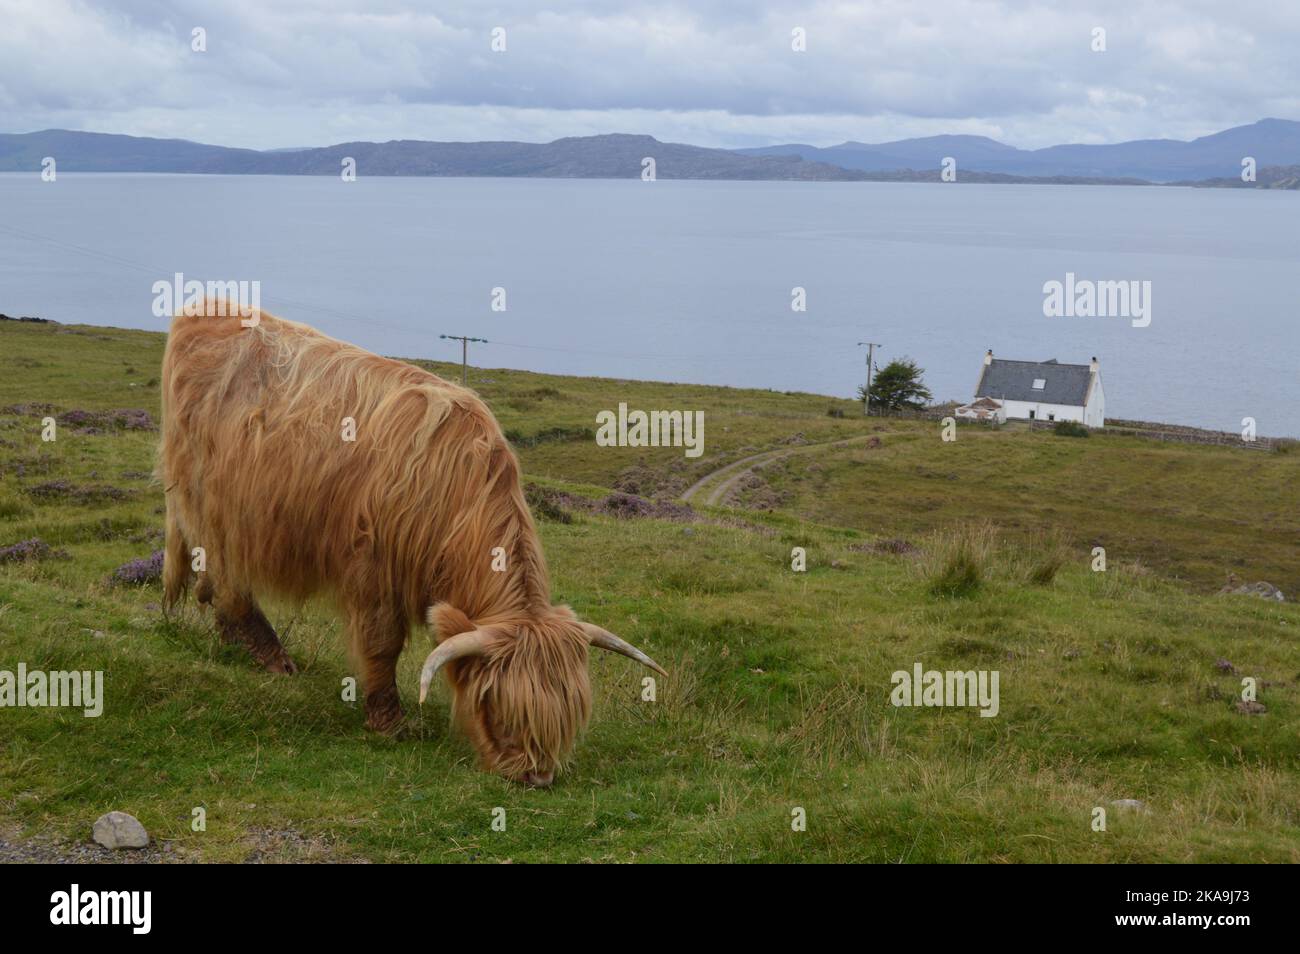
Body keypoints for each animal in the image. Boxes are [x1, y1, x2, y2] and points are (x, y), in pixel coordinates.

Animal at [157, 307, 664, 786]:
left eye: (567, 717)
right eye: (496, 706)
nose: (535, 776)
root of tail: (207, 306)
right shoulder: (371, 564)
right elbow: (382, 643)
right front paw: (389, 722)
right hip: (209, 504)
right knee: (228, 579)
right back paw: (273, 658)